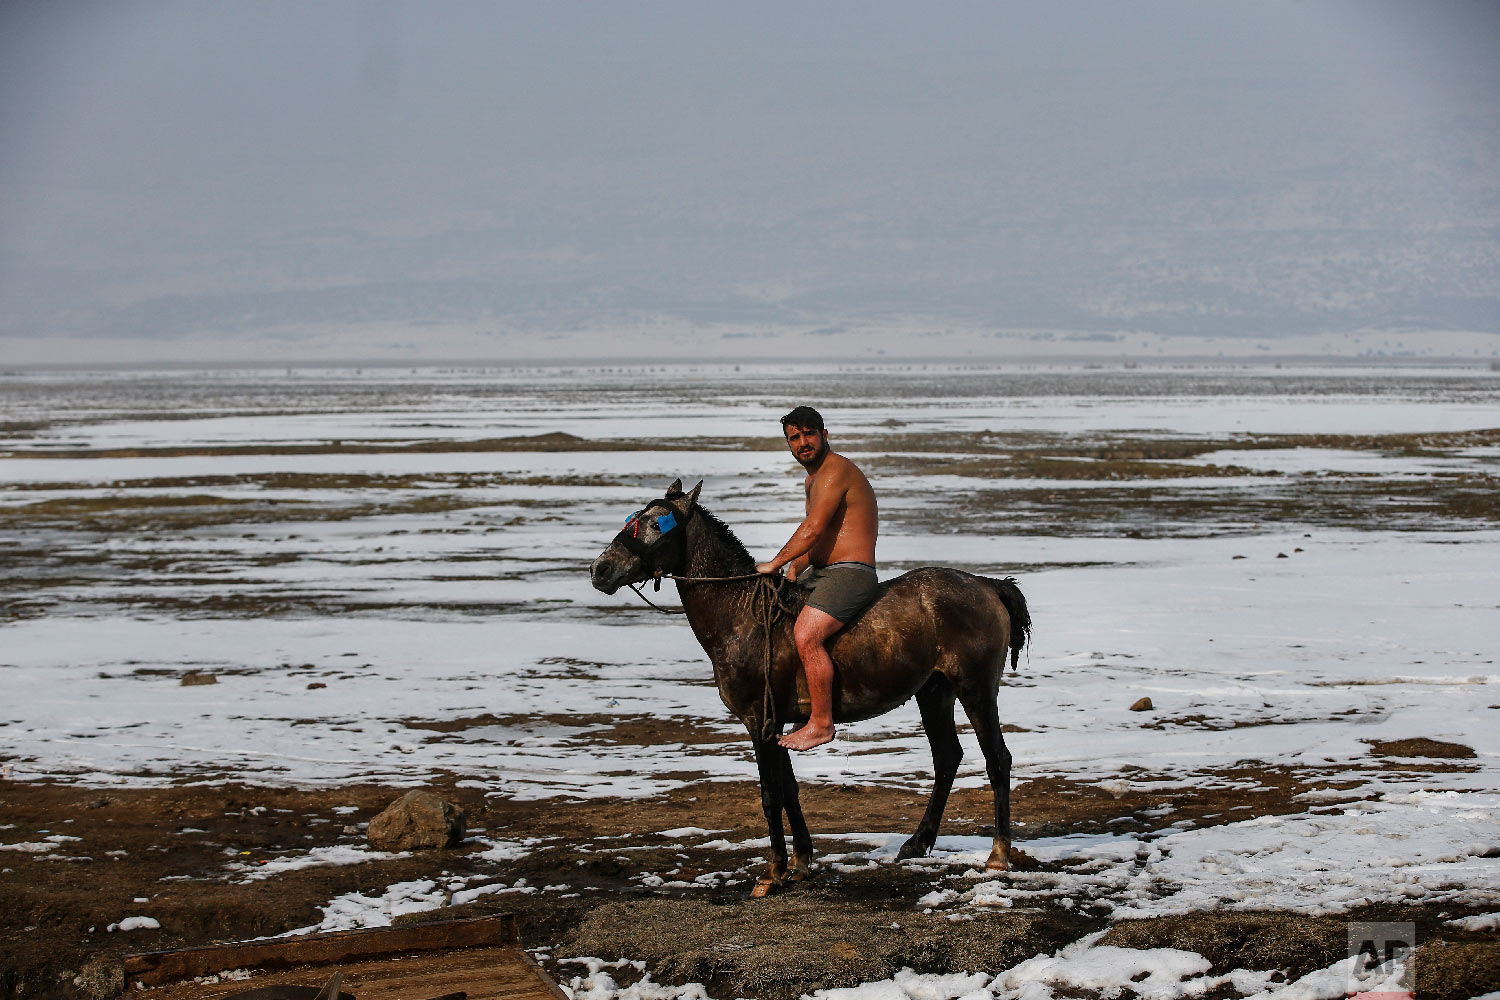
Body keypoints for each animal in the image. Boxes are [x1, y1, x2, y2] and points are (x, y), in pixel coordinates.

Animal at [588, 479, 1032, 893]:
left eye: (654, 524)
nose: (600, 569)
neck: (741, 614)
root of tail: (986, 585)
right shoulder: (777, 725)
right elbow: (789, 790)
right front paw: (800, 860)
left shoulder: (760, 721)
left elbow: (770, 795)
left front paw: (772, 872)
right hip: (934, 692)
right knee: (947, 758)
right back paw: (918, 843)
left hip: (975, 688)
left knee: (997, 759)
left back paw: (998, 854)